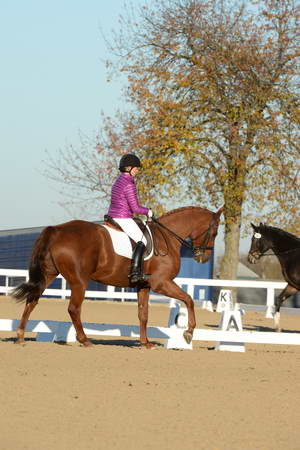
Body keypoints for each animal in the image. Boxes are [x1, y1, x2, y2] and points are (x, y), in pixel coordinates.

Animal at [11, 206, 223, 346]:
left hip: (48, 274)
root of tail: (57, 230)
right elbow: (189, 300)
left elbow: (143, 314)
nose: (203, 258)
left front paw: (145, 343)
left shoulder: (144, 286)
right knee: (73, 309)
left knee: (32, 301)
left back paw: (21, 337)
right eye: (214, 232)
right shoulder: (161, 283)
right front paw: (188, 332)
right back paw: (85, 340)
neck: (167, 239)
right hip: (79, 281)